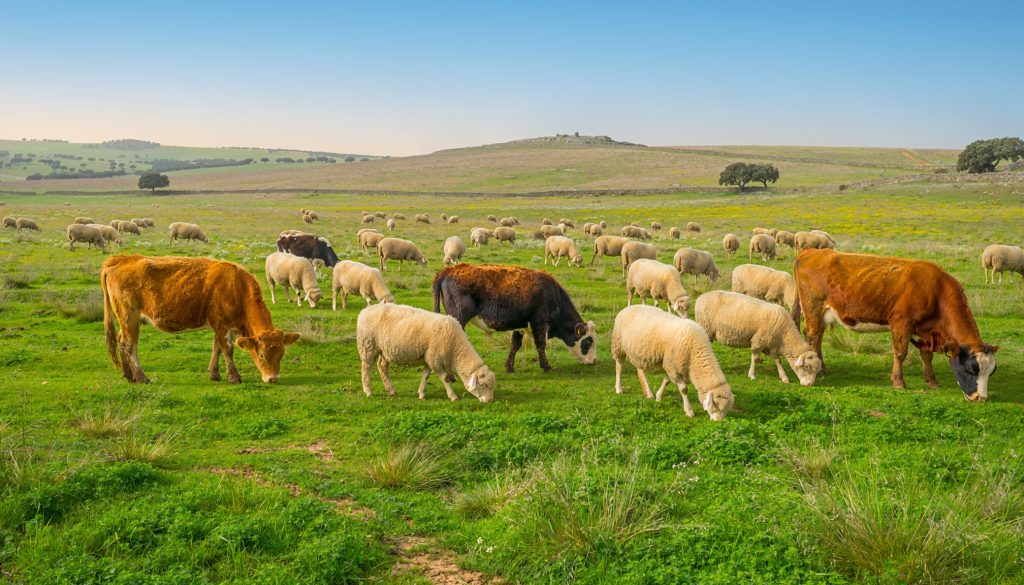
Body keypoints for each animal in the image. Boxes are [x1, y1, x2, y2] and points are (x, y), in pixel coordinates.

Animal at [101, 255, 300, 384]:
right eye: (261, 355)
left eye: (282, 354)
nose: (273, 379)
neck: (237, 287)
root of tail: (121, 258)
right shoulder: (222, 324)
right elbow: (227, 350)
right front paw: (234, 377)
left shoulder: (221, 326)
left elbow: (217, 348)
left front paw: (214, 374)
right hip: (130, 318)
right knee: (130, 345)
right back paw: (141, 377)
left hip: (125, 321)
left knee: (121, 341)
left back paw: (128, 375)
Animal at [357, 303, 496, 402]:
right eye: (483, 385)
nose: (490, 401)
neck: (455, 349)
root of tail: (365, 311)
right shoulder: (434, 359)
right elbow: (445, 378)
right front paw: (453, 396)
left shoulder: (429, 358)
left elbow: (426, 375)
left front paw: (421, 393)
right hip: (368, 345)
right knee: (366, 367)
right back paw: (368, 390)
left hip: (384, 350)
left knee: (382, 367)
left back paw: (391, 390)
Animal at [433, 264, 597, 373]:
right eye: (588, 342)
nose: (594, 360)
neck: (552, 294)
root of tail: (449, 270)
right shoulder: (539, 323)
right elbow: (541, 345)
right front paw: (546, 367)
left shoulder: (520, 325)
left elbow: (515, 345)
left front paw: (509, 367)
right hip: (458, 318)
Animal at [793, 249, 998, 400]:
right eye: (971, 369)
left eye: (991, 372)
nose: (981, 397)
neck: (935, 290)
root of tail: (811, 252)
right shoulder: (901, 323)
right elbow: (900, 354)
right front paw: (899, 382)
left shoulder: (924, 330)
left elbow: (926, 356)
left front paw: (931, 380)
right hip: (813, 309)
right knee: (812, 337)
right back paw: (818, 371)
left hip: (822, 316)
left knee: (818, 338)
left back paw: (823, 368)